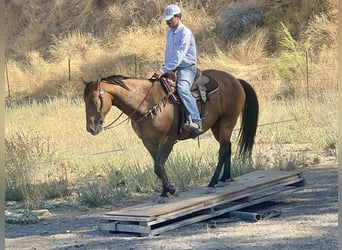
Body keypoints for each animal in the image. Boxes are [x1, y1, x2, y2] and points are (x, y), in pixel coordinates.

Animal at [82, 69, 260, 203]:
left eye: (94, 100)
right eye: (84, 101)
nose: (91, 128)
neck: (147, 102)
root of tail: (235, 80)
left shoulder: (168, 139)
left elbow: (159, 166)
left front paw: (172, 190)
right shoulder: (149, 142)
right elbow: (158, 167)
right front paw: (165, 193)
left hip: (227, 122)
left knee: (223, 150)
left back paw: (213, 182)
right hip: (217, 125)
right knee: (227, 146)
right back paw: (225, 178)